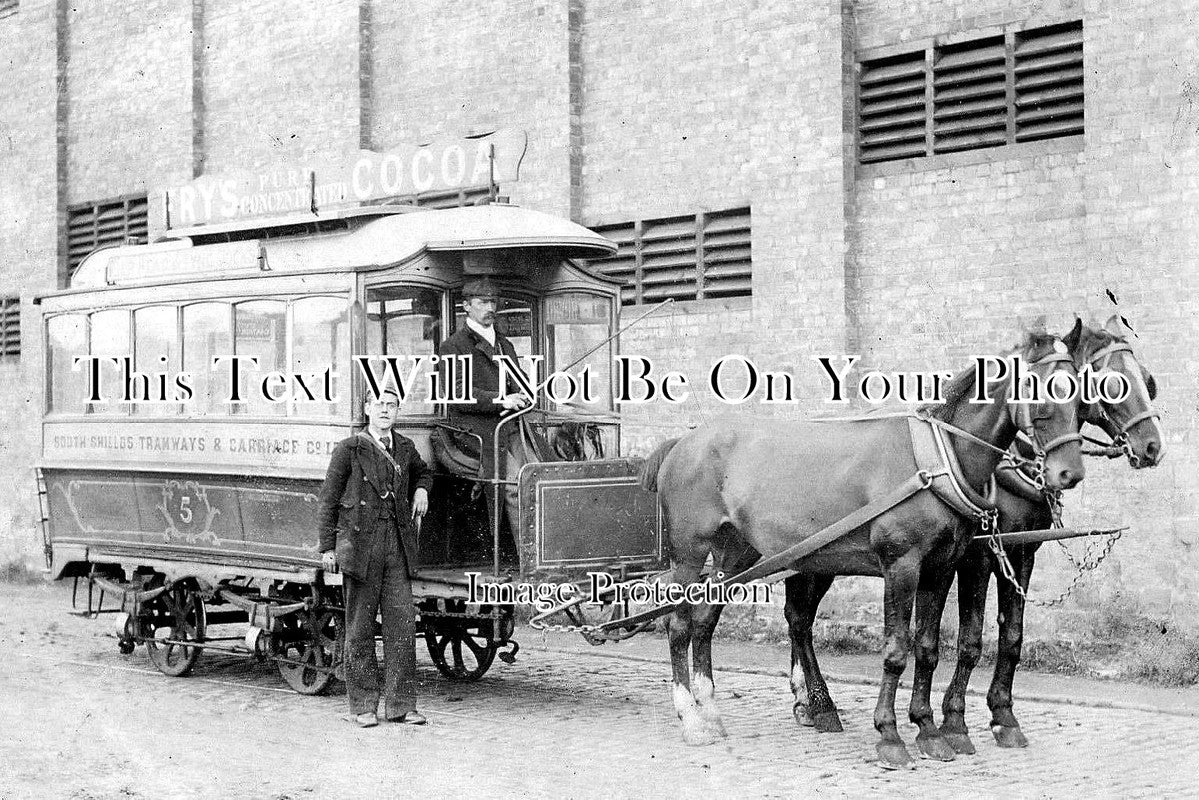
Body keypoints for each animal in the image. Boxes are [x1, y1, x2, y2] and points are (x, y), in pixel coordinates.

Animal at [647, 331, 1088, 767]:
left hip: (738, 553)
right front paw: (891, 735)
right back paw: (693, 716)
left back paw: (711, 709)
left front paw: (929, 730)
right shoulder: (904, 566)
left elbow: (928, 649)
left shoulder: (942, 567)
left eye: (1081, 392)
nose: (1070, 473)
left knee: (706, 620)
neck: (936, 459)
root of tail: (684, 441)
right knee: (680, 624)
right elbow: (897, 650)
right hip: (689, 553)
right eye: (1044, 391)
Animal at [935, 316, 1160, 753]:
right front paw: (954, 722)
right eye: (1112, 382)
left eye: (1146, 379)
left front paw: (1004, 716)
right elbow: (970, 640)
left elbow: (1012, 635)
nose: (1153, 446)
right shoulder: (978, 557)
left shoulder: (1023, 553)